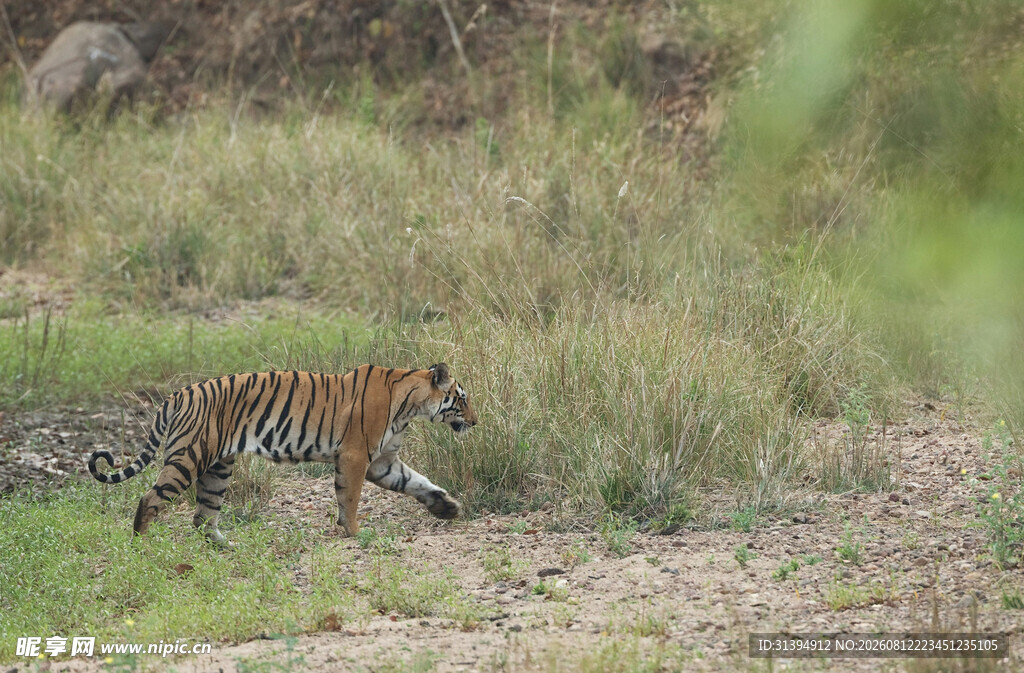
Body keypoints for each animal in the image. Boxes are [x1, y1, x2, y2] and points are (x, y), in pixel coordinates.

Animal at [88, 363, 477, 544]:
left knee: (202, 516)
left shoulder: (382, 463)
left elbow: (417, 483)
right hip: (189, 457)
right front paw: (355, 532)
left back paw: (226, 546)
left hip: (218, 468)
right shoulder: (355, 457)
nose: (476, 421)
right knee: (149, 499)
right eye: (462, 398)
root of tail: (177, 394)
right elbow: (350, 499)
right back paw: (141, 545)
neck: (411, 405)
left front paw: (447, 507)